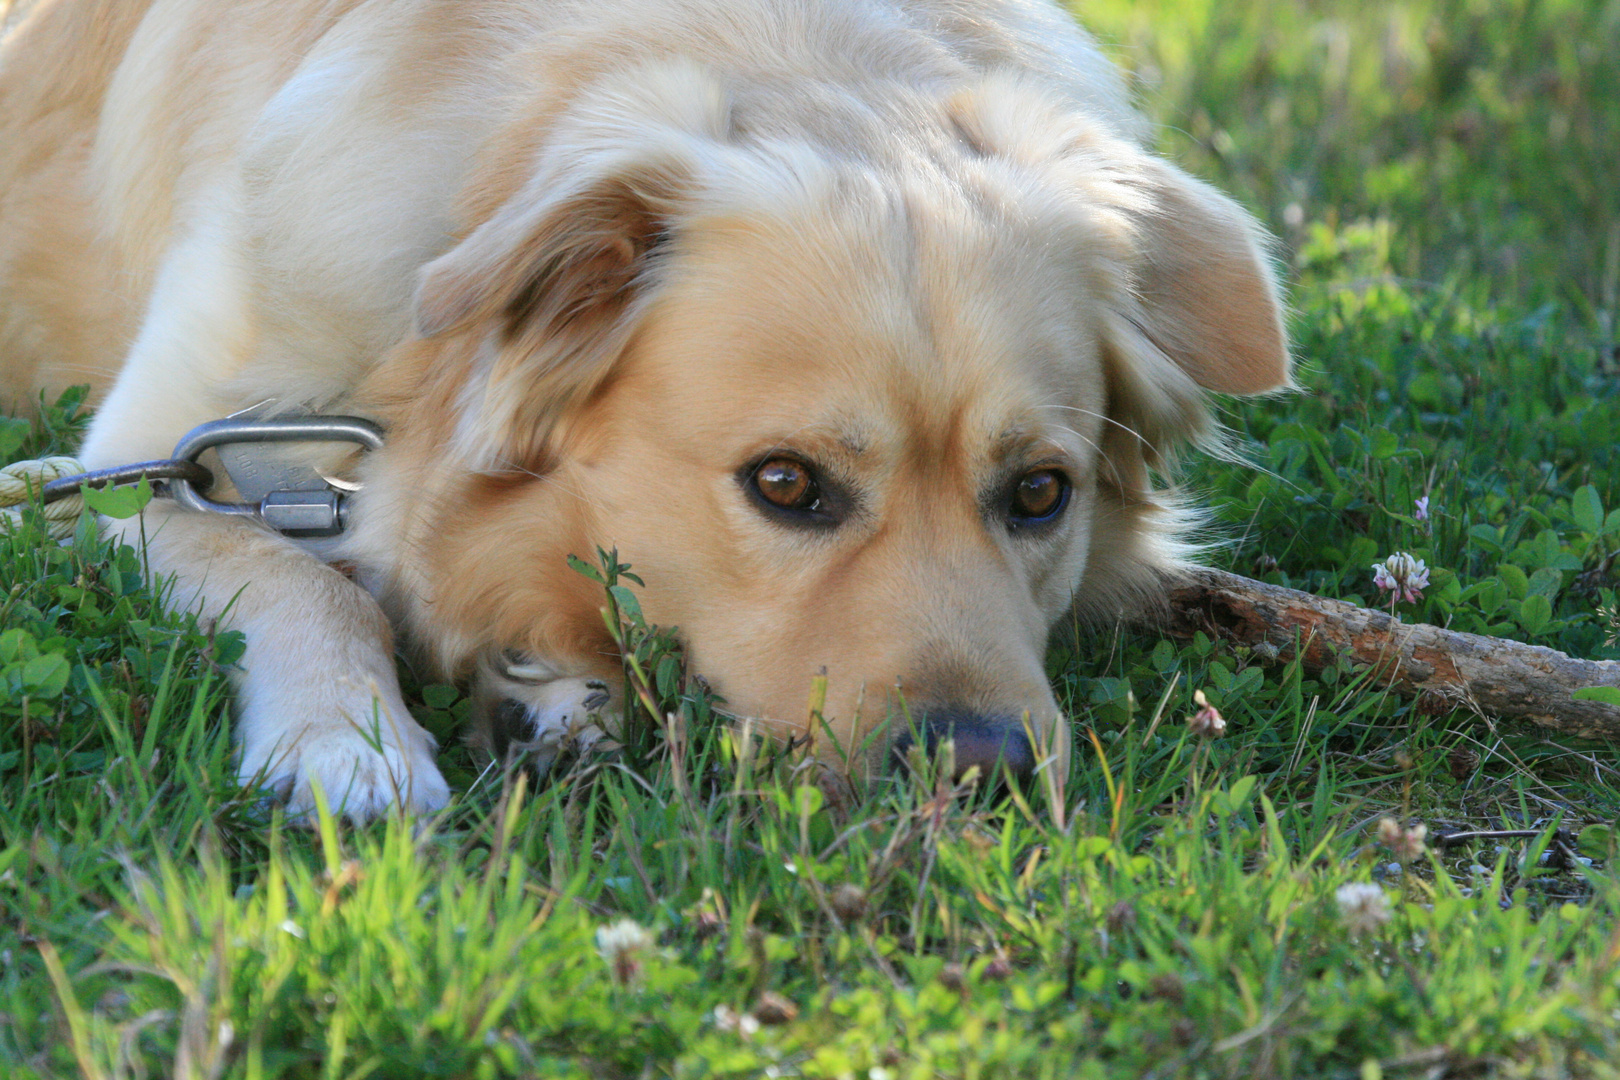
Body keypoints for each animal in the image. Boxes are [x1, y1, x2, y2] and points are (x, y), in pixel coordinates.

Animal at [0, 0, 1289, 816]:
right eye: (785, 483)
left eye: (1040, 494)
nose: (985, 771)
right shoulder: (105, 476)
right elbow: (303, 576)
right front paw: (344, 742)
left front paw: (545, 690)